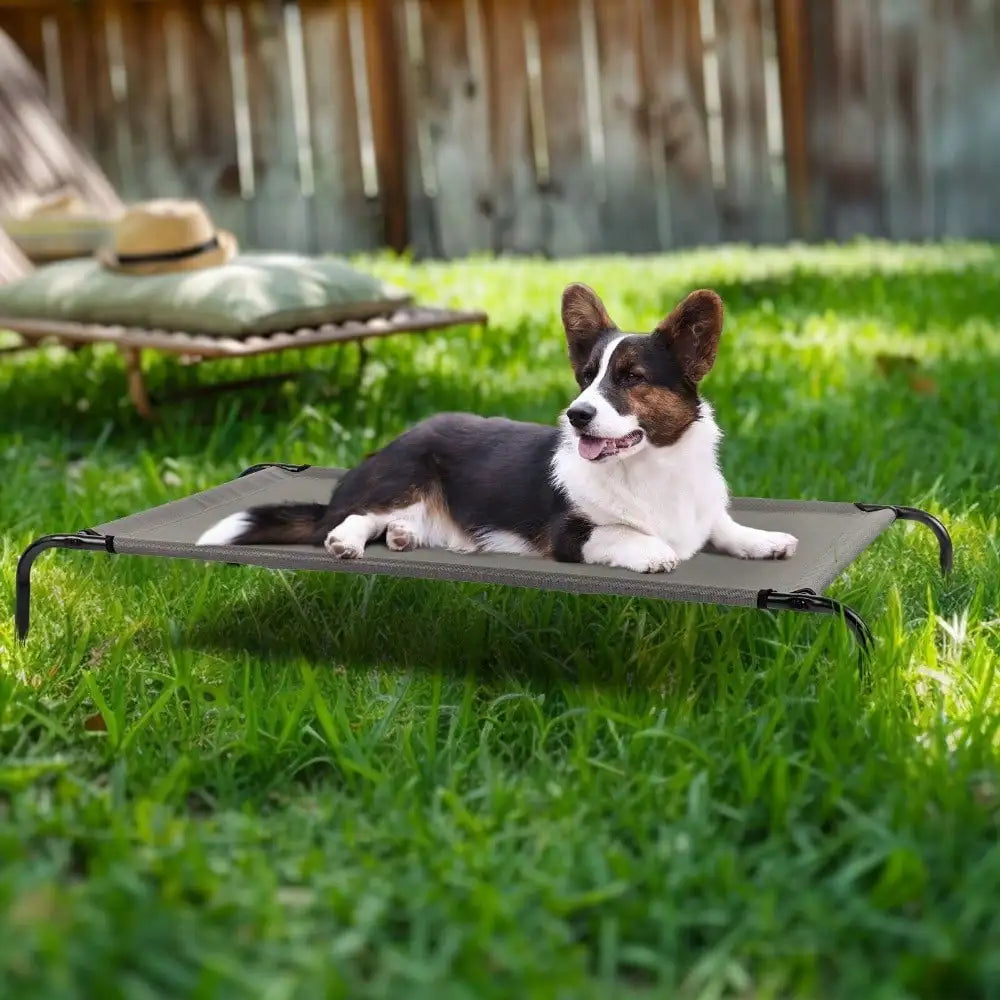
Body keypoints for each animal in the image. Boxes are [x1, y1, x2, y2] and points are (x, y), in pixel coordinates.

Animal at [197, 286, 796, 576]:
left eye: (631, 378)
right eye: (587, 377)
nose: (576, 415)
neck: (649, 469)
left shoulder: (704, 512)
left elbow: (724, 525)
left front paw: (765, 540)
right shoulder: (571, 535)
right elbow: (623, 534)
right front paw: (653, 551)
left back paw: (405, 537)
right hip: (404, 474)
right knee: (350, 518)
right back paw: (350, 540)